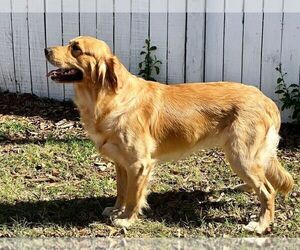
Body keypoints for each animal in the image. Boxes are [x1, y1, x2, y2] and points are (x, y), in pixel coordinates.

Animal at [44, 36, 292, 233]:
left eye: (76, 48)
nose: (46, 49)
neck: (108, 99)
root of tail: (266, 100)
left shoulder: (139, 164)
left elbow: (133, 195)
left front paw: (126, 220)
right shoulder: (121, 163)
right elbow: (121, 191)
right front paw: (116, 210)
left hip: (241, 155)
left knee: (268, 191)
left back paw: (260, 224)